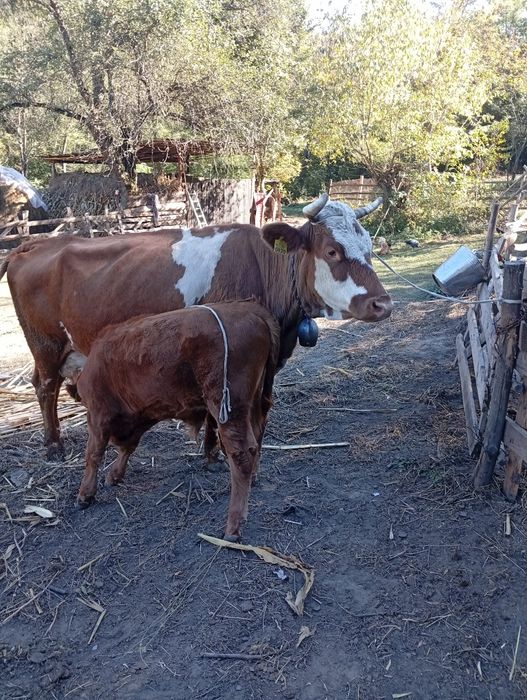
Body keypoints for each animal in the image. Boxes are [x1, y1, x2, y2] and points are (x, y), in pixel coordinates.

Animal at [0, 193, 392, 461]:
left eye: (369, 247)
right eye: (332, 251)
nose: (383, 304)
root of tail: (33, 244)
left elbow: (254, 404)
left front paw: (214, 448)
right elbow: (221, 407)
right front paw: (213, 450)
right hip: (46, 344)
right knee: (46, 387)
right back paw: (53, 445)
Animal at [70, 302, 279, 541]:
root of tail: (252, 310)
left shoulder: (97, 413)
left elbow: (94, 453)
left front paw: (85, 494)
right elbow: (128, 447)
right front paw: (114, 474)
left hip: (227, 405)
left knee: (242, 453)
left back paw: (233, 527)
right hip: (253, 403)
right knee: (257, 437)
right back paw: (253, 478)